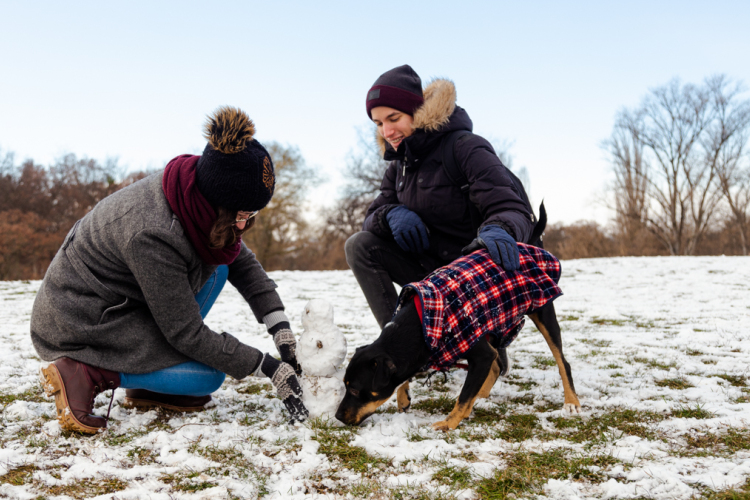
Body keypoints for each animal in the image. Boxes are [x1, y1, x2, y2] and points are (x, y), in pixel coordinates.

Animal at [338, 205, 584, 432]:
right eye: (345, 384)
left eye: (354, 389)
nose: (338, 416)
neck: (422, 324)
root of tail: (525, 245)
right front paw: (403, 396)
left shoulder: (480, 352)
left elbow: (464, 396)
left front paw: (448, 422)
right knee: (497, 366)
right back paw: (481, 397)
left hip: (542, 312)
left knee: (562, 362)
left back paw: (571, 402)